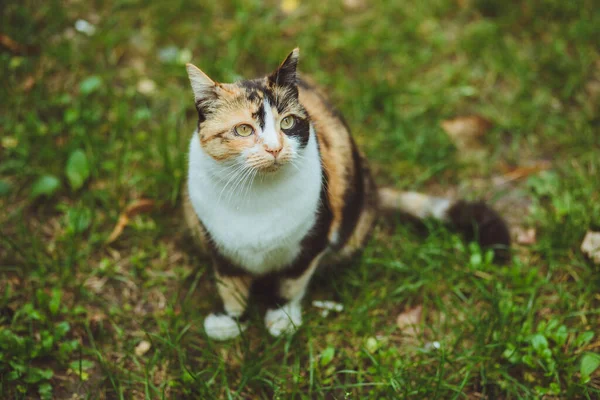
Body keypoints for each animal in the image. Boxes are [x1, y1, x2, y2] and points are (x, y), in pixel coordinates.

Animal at [183, 47, 510, 340]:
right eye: (242, 130)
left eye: (287, 122)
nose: (275, 148)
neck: (256, 196)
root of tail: (372, 189)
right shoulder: (217, 243)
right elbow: (229, 285)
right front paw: (229, 321)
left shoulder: (314, 238)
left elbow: (292, 281)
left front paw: (282, 318)